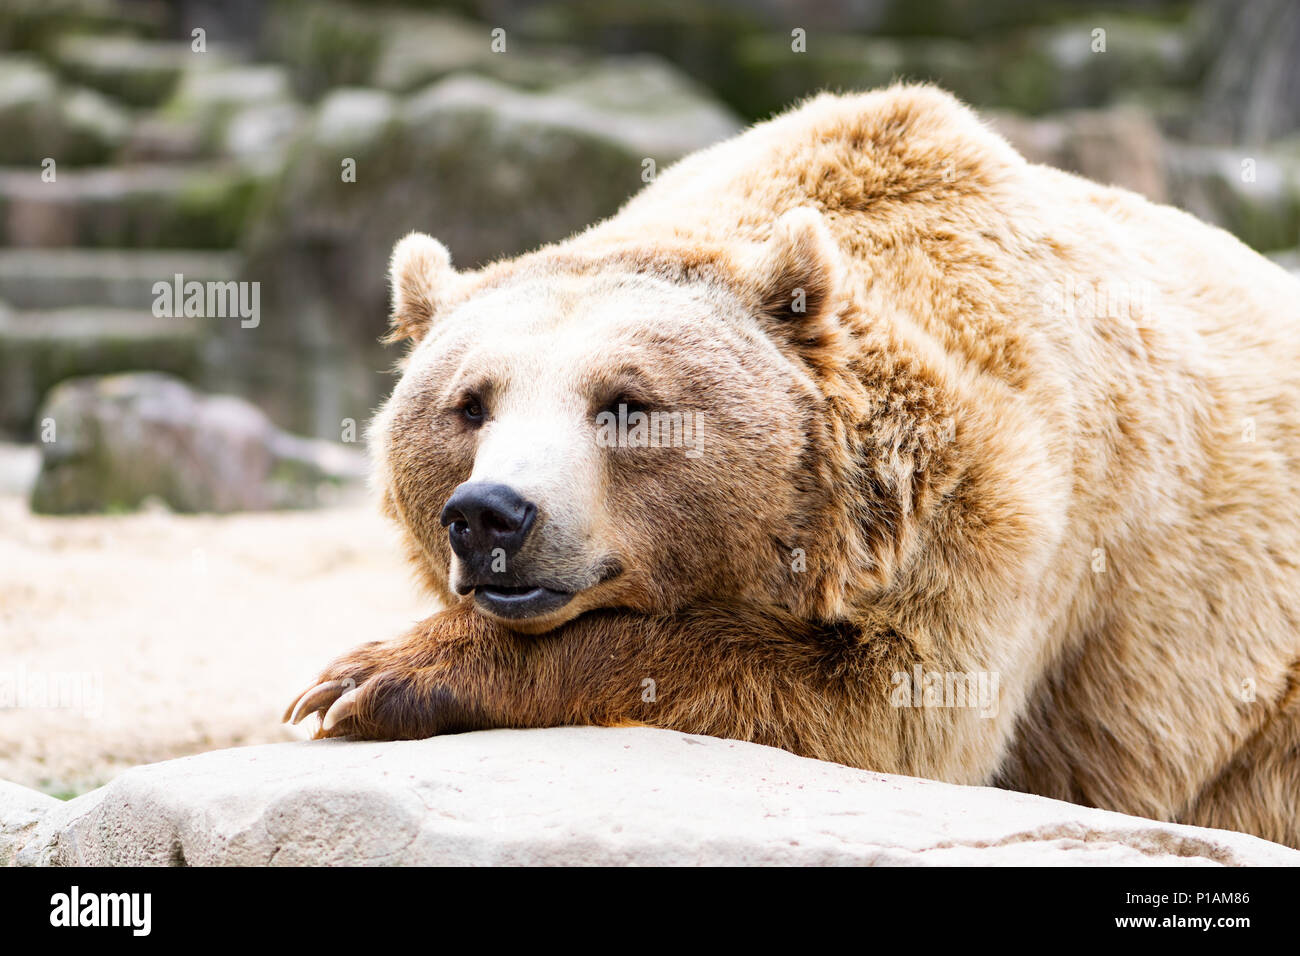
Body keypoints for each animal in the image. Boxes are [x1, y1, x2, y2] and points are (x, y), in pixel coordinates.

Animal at [287, 82, 1300, 842]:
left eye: (627, 405)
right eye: (470, 403)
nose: (491, 512)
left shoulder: (987, 510)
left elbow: (886, 712)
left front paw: (372, 679)